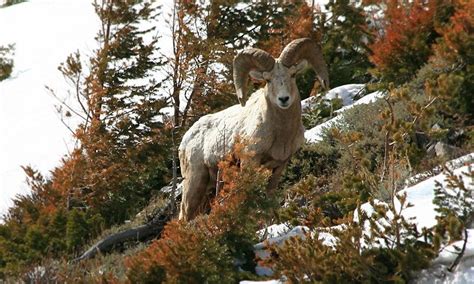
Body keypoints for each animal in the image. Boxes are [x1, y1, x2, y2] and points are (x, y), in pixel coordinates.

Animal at [178, 37, 330, 221]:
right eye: (268, 80)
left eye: (292, 75)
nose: (284, 99)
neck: (281, 135)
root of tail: (185, 140)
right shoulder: (250, 162)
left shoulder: (278, 167)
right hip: (194, 183)